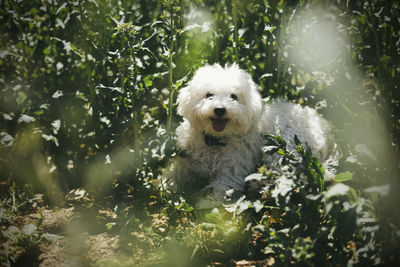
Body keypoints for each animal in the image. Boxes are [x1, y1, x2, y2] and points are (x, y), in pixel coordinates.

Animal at [170, 63, 340, 206]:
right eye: (208, 94)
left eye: (234, 96)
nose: (219, 109)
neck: (214, 140)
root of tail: (326, 130)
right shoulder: (184, 160)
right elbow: (172, 173)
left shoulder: (230, 172)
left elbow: (219, 191)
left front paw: (206, 206)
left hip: (282, 150)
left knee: (286, 179)